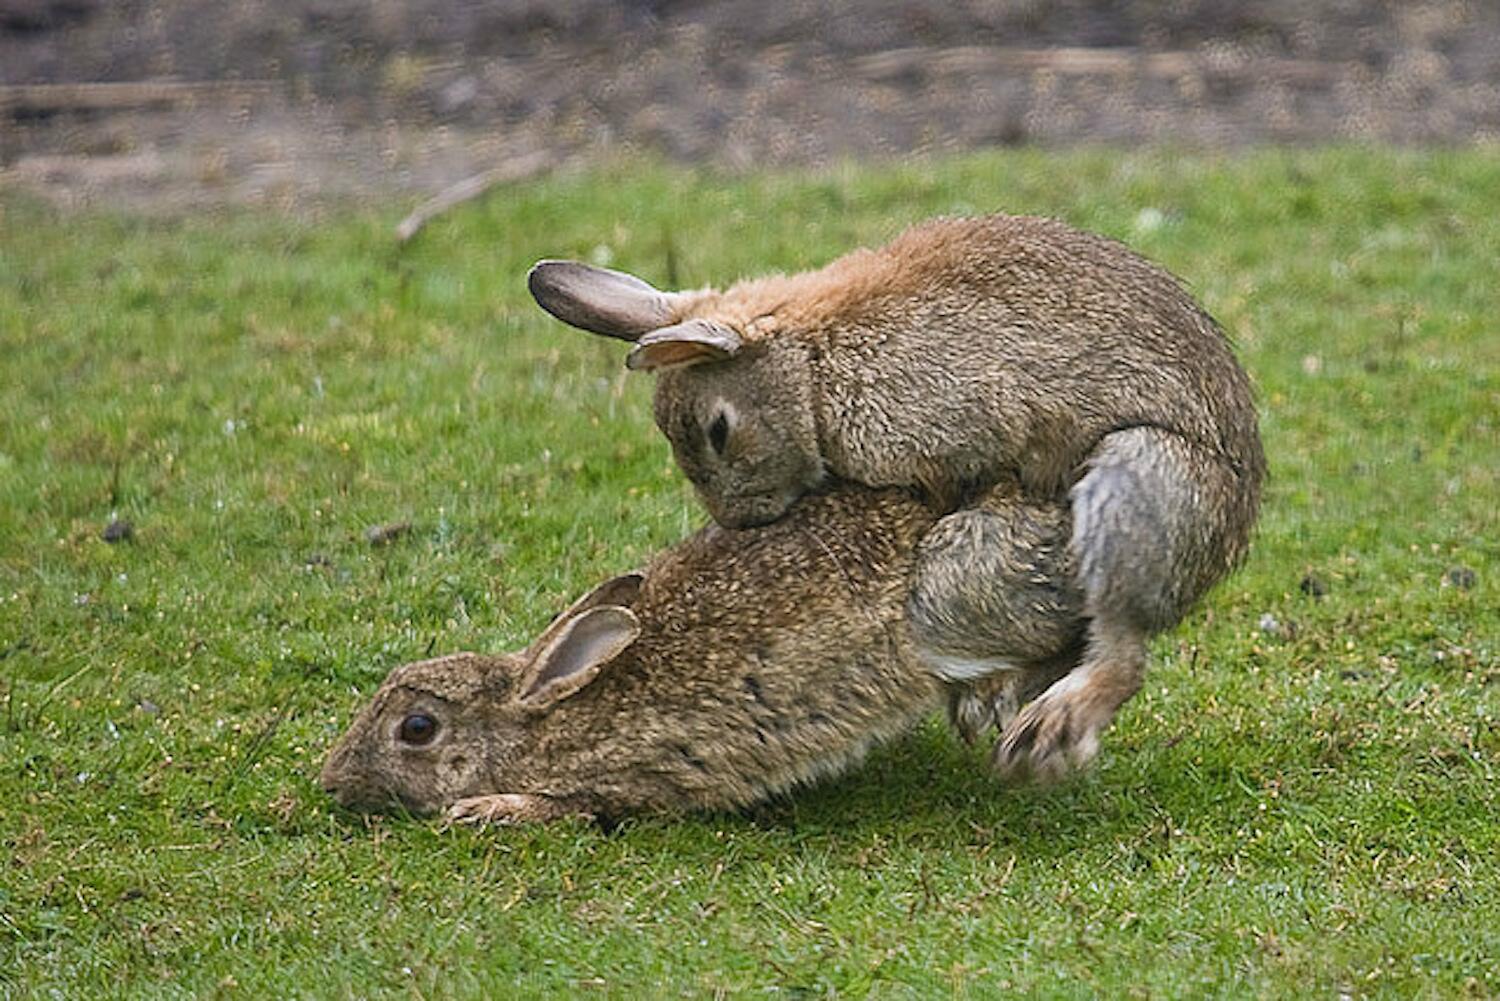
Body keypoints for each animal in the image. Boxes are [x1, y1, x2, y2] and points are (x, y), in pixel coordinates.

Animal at [528, 213, 1266, 780]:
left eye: (718, 429)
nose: (743, 520)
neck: (813, 363)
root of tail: (1228, 539)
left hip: (1139, 481)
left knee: (1120, 644)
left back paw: (1045, 725)